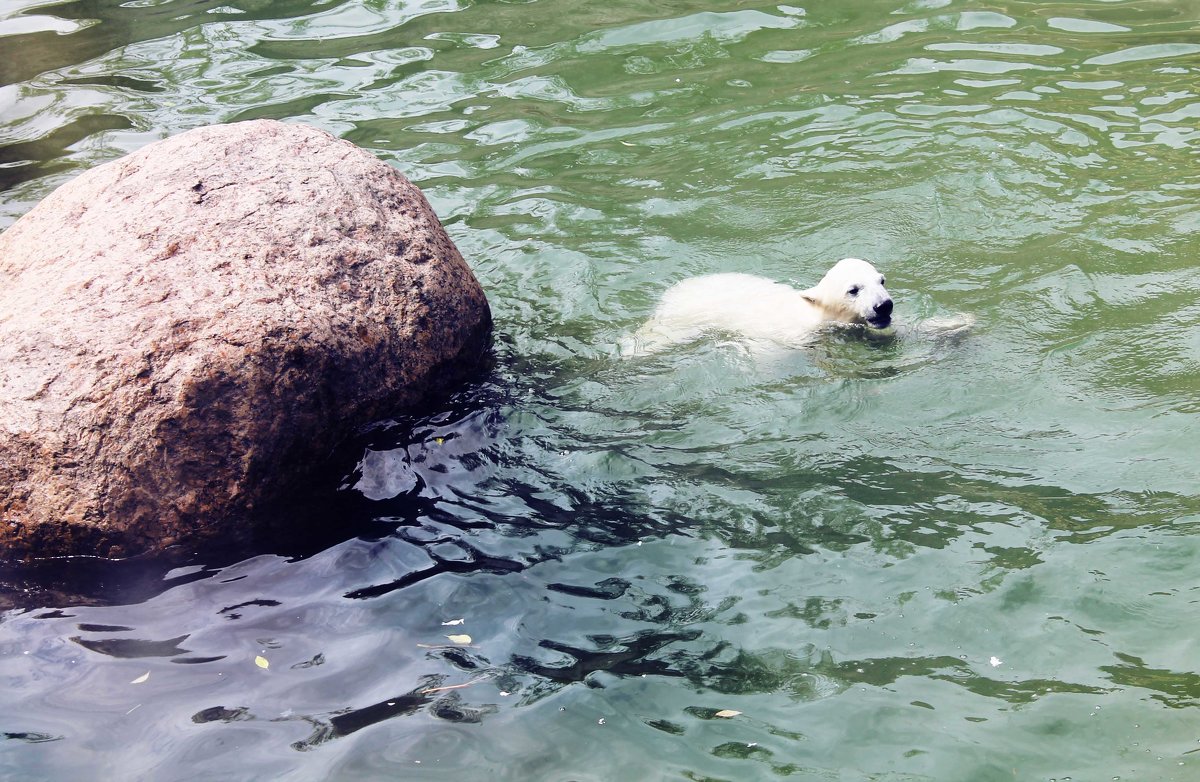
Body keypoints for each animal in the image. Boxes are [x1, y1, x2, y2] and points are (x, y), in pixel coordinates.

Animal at [628, 257, 892, 352]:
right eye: (853, 290)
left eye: (881, 280)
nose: (884, 306)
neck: (813, 313)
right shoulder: (786, 335)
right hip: (683, 320)